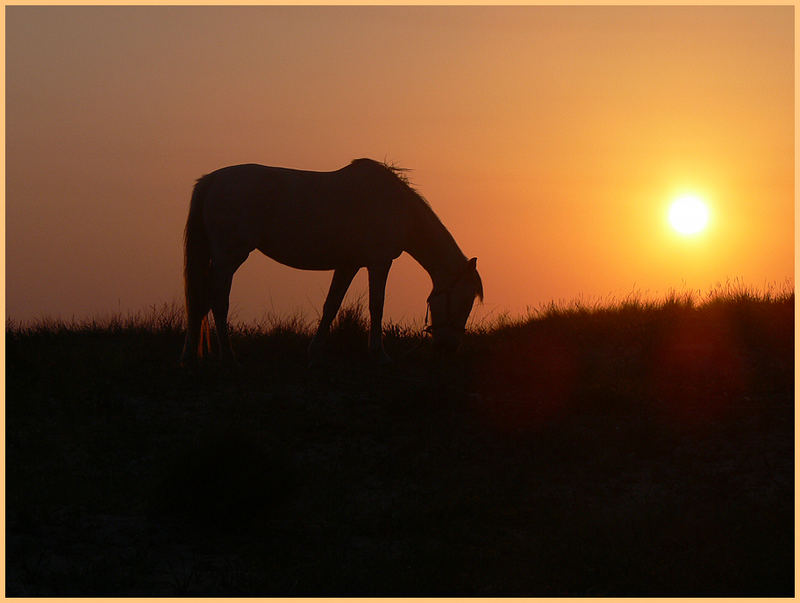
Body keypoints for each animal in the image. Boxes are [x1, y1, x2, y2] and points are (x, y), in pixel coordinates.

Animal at [180, 158, 482, 366]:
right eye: (465, 301)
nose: (450, 347)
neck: (397, 208)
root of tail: (210, 181)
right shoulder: (379, 263)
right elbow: (377, 306)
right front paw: (379, 354)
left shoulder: (348, 265)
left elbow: (331, 305)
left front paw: (315, 351)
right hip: (229, 258)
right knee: (217, 300)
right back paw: (228, 356)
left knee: (201, 300)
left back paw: (191, 356)